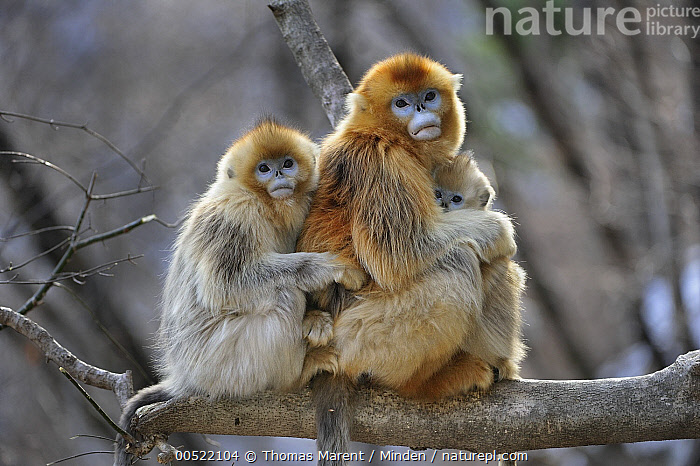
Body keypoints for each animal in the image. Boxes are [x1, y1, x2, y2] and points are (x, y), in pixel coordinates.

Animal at [114, 119, 360, 466]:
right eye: (263, 169)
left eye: (287, 163)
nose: (279, 175)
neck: (264, 204)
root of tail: (184, 376)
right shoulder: (236, 214)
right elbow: (225, 285)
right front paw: (325, 268)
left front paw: (315, 319)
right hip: (222, 365)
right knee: (284, 297)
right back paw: (297, 374)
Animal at [296, 53, 519, 463]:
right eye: (401, 103)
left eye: (429, 96)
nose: (420, 109)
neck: (391, 137)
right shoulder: (381, 161)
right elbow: (399, 253)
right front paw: (497, 229)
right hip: (357, 336)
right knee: (458, 263)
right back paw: (429, 383)